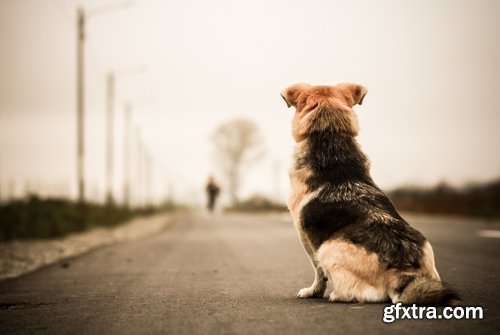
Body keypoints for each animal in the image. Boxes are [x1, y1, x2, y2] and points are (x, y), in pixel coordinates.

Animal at [280, 82, 458, 306]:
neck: (329, 133)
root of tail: (402, 269)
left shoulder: (304, 234)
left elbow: (318, 272)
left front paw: (313, 291)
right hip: (429, 254)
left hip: (328, 249)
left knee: (360, 294)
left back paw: (337, 295)